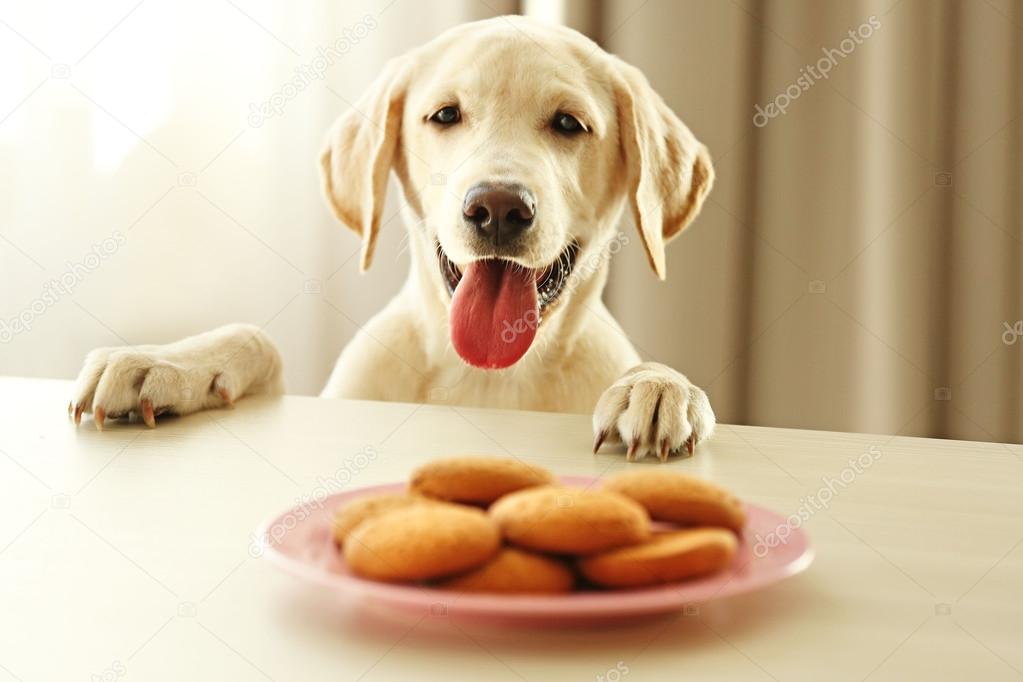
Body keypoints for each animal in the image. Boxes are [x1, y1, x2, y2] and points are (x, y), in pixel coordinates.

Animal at [68, 17, 716, 464]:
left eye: (568, 124)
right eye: (446, 115)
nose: (498, 209)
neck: (487, 376)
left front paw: (658, 387)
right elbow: (259, 339)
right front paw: (165, 361)